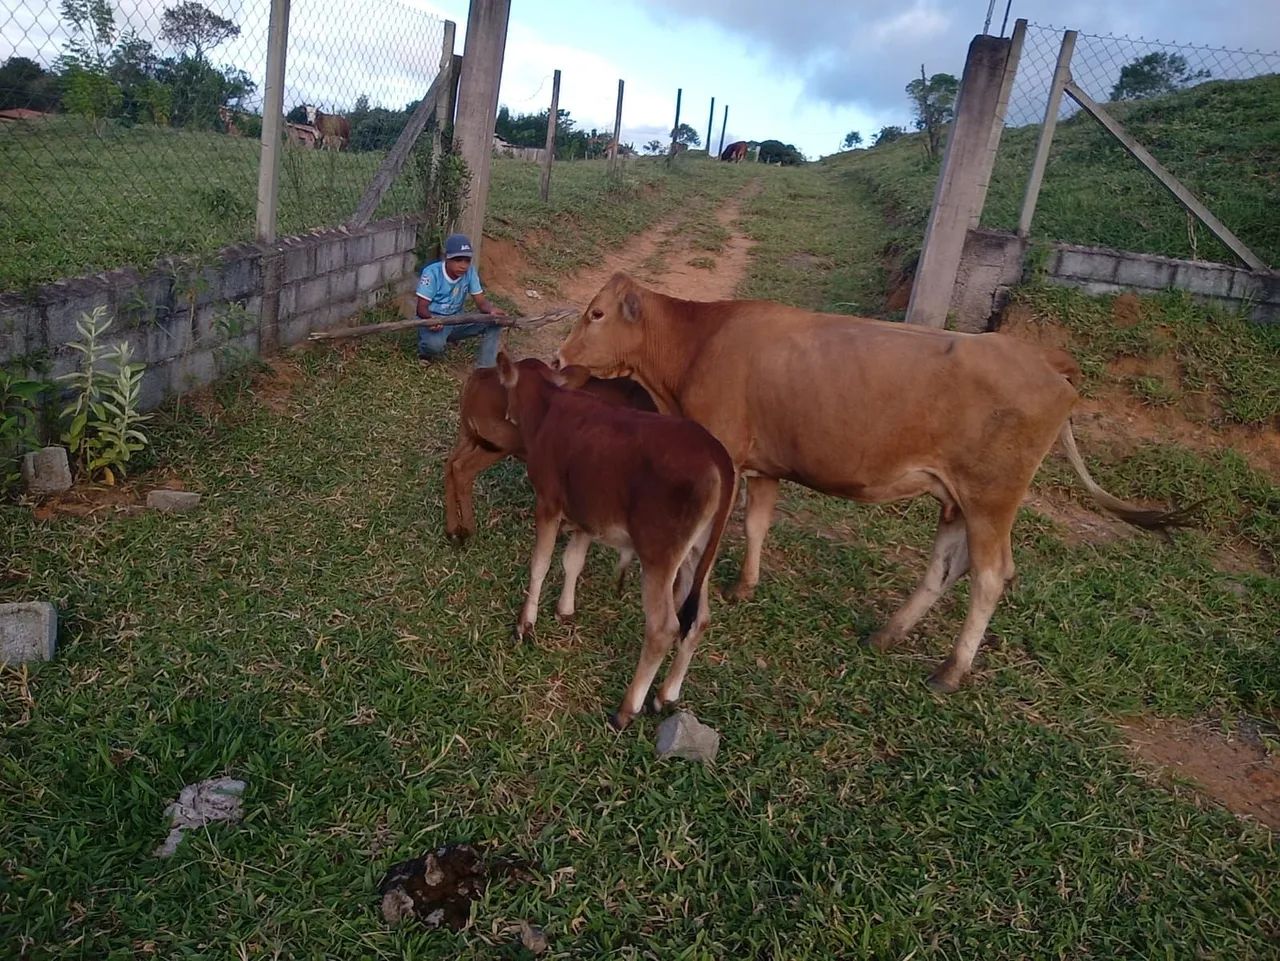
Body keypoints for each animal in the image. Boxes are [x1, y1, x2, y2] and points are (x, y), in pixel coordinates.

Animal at [443, 364, 656, 544]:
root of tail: (478, 377)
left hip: (469, 436)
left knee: (450, 464)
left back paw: (452, 529)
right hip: (499, 444)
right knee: (462, 469)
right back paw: (468, 529)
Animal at [496, 354, 736, 731]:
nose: (506, 414)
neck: (547, 408)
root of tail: (718, 454)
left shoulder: (548, 503)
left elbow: (541, 564)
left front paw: (525, 625)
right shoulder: (587, 515)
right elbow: (573, 561)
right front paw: (565, 610)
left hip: (658, 554)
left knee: (663, 627)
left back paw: (626, 710)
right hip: (699, 553)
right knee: (699, 618)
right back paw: (666, 695)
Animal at [556, 273, 1189, 693]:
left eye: (596, 314)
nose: (559, 359)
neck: (698, 343)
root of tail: (1044, 359)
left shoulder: (728, 456)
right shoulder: (768, 464)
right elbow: (758, 525)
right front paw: (746, 587)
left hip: (991, 498)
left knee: (990, 577)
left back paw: (950, 671)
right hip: (957, 499)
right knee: (945, 567)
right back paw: (889, 635)